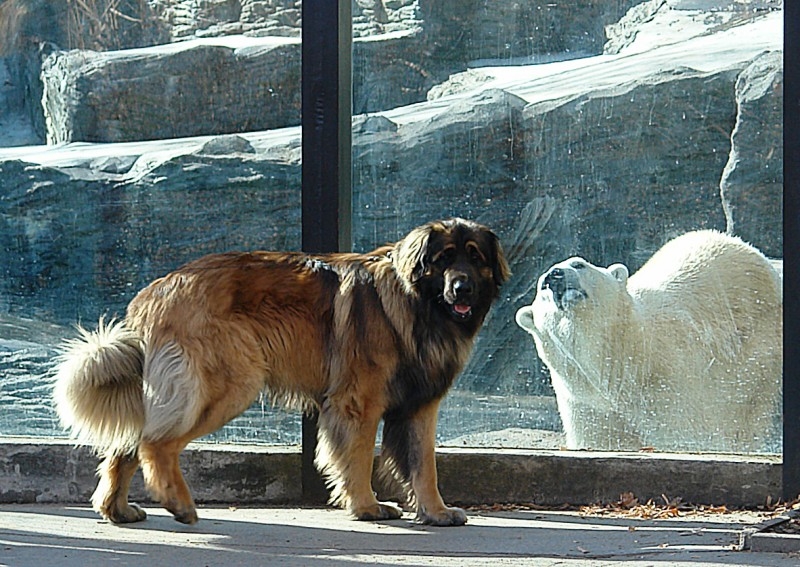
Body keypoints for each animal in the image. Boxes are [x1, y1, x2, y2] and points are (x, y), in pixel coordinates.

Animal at [53, 219, 510, 528]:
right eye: (442, 260)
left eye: (475, 257)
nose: (463, 288)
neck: (417, 305)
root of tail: (153, 292)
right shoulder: (358, 404)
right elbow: (360, 458)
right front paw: (366, 507)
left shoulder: (419, 407)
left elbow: (423, 465)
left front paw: (436, 511)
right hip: (228, 384)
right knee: (155, 443)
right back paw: (178, 503)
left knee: (128, 445)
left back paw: (117, 509)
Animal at [516, 229, 784, 454]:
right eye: (542, 286)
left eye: (578, 264)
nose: (555, 276)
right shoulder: (588, 403)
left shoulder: (672, 384)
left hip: (759, 354)